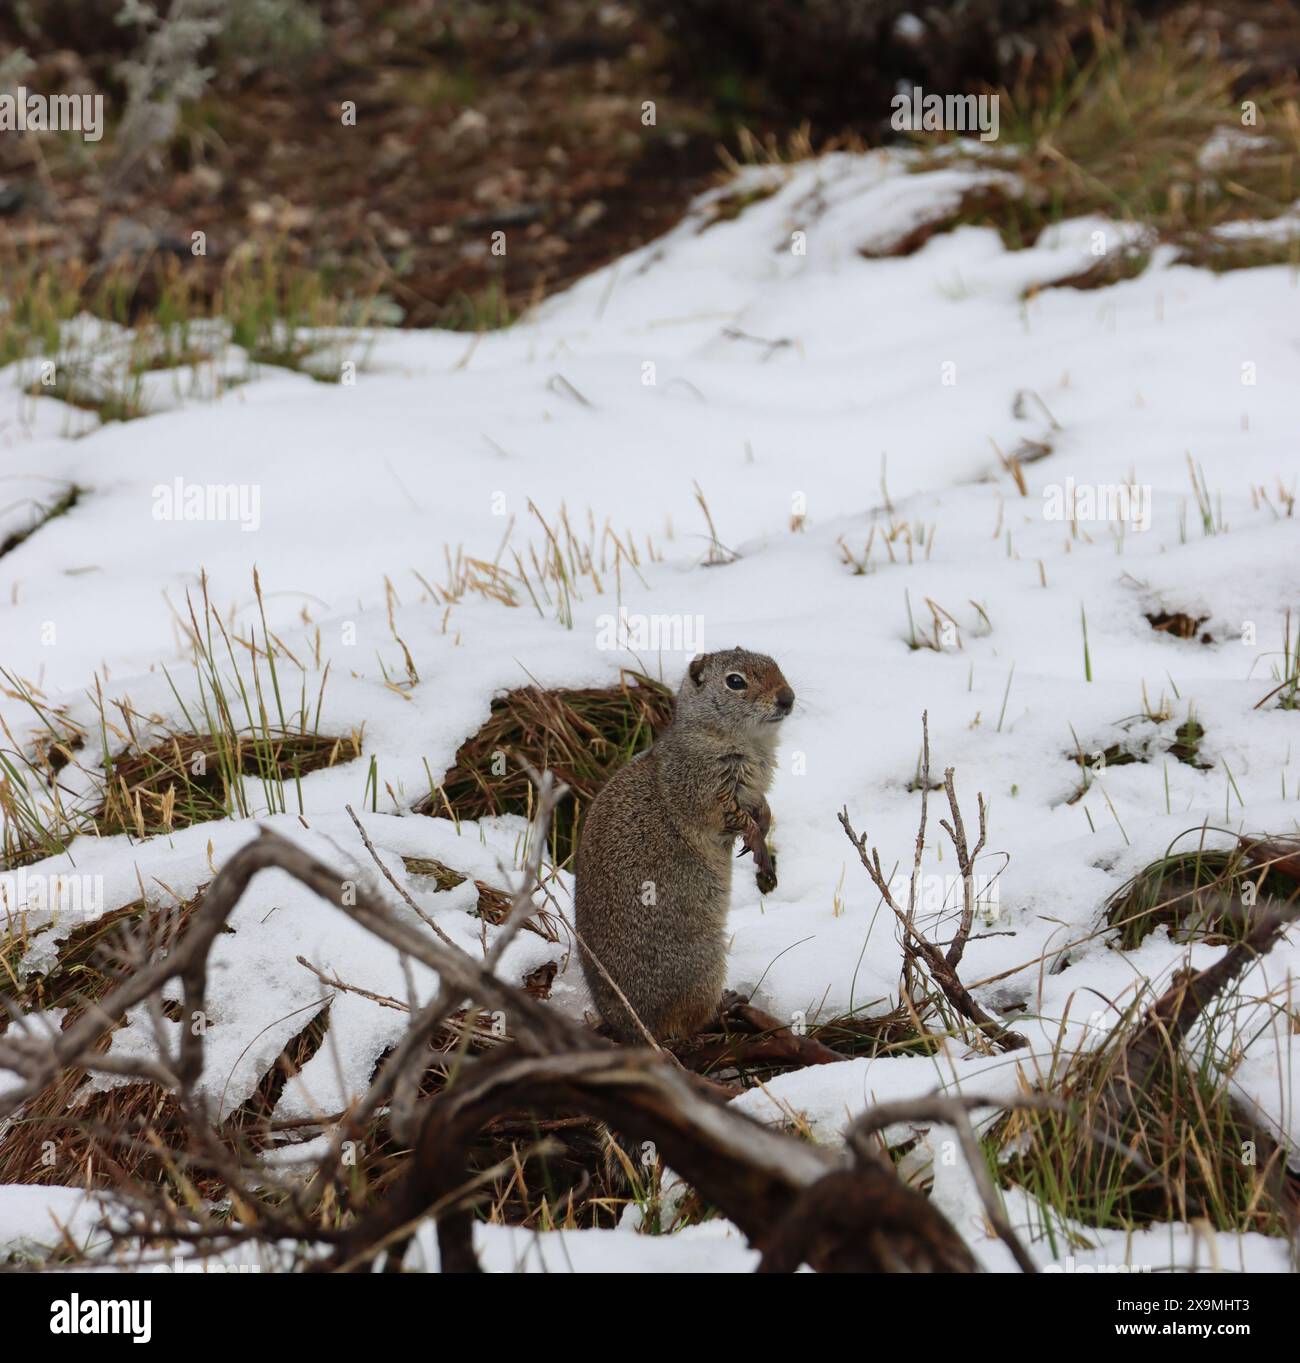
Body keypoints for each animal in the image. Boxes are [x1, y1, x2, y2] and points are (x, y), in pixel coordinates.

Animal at [574, 647, 795, 1042]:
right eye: (735, 681)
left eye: (775, 665)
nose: (787, 697)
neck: (751, 742)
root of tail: (630, 1027)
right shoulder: (702, 788)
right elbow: (731, 816)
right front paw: (756, 842)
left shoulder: (752, 790)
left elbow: (761, 806)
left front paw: (765, 825)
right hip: (703, 965)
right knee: (690, 1020)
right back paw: (725, 1005)